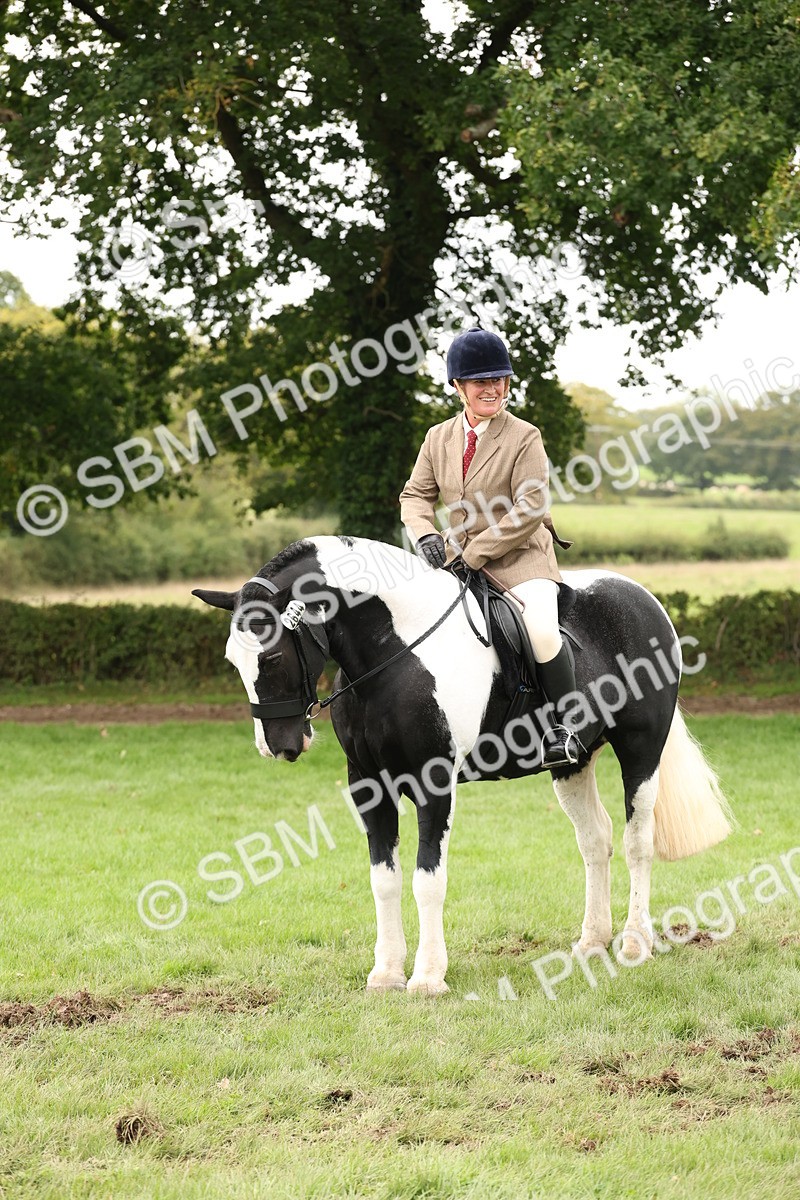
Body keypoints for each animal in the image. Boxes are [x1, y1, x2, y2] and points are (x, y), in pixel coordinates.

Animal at [193, 534, 731, 996]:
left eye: (272, 655)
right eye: (233, 660)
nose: (278, 745)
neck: (397, 651)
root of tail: (645, 600)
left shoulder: (433, 782)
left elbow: (427, 879)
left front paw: (428, 978)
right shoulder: (368, 784)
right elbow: (384, 879)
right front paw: (386, 973)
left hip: (641, 748)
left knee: (637, 840)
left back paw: (635, 943)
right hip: (573, 762)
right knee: (595, 840)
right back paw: (591, 943)